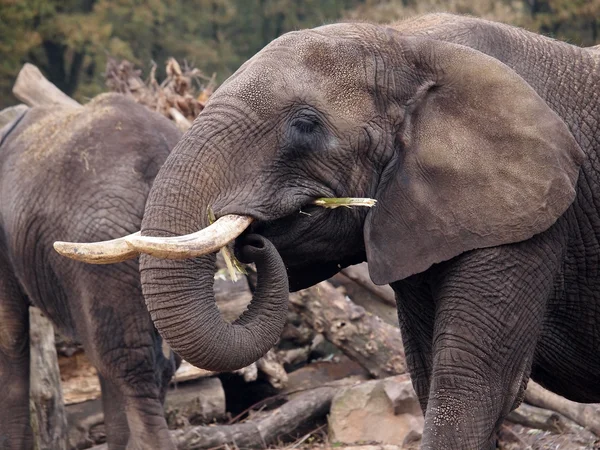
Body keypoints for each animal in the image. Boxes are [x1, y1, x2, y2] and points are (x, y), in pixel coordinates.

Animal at [57, 13, 600, 450]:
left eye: (306, 124)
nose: (253, 240)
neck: (411, 45)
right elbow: (429, 378)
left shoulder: (532, 214)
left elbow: (470, 387)